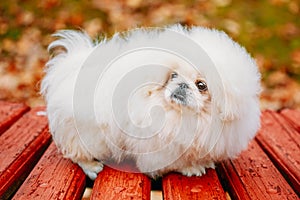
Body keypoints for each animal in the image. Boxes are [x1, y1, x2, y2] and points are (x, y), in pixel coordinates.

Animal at [41, 24, 262, 180]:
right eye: (173, 75)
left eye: (201, 85)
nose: (182, 84)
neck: (186, 117)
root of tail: (69, 69)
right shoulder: (160, 148)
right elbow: (174, 163)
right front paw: (191, 167)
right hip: (90, 135)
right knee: (77, 153)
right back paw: (92, 166)